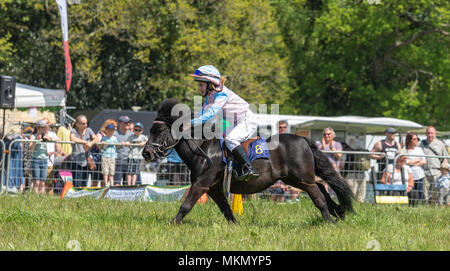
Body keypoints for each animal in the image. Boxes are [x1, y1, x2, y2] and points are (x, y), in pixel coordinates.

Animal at [142, 100, 354, 225]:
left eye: (159, 131)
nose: (146, 153)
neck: (203, 150)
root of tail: (302, 139)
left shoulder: (201, 185)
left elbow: (185, 206)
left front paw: (172, 224)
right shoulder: (214, 189)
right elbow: (226, 210)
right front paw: (235, 226)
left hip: (302, 179)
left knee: (318, 196)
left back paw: (329, 220)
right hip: (294, 179)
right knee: (322, 187)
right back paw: (339, 212)